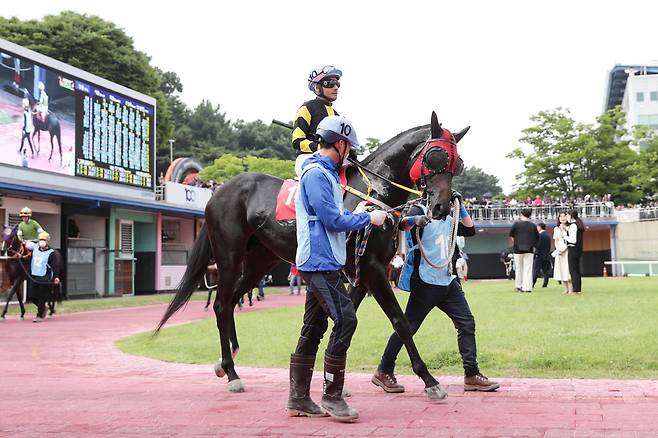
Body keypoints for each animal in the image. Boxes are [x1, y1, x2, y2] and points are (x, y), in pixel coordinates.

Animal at [157, 111, 468, 398]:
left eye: (458, 165)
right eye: (435, 156)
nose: (441, 207)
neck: (371, 193)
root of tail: (220, 191)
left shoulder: (361, 273)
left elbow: (344, 319)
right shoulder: (374, 269)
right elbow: (400, 321)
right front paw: (429, 380)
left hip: (259, 262)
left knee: (231, 302)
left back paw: (227, 359)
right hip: (228, 257)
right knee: (222, 304)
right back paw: (232, 373)